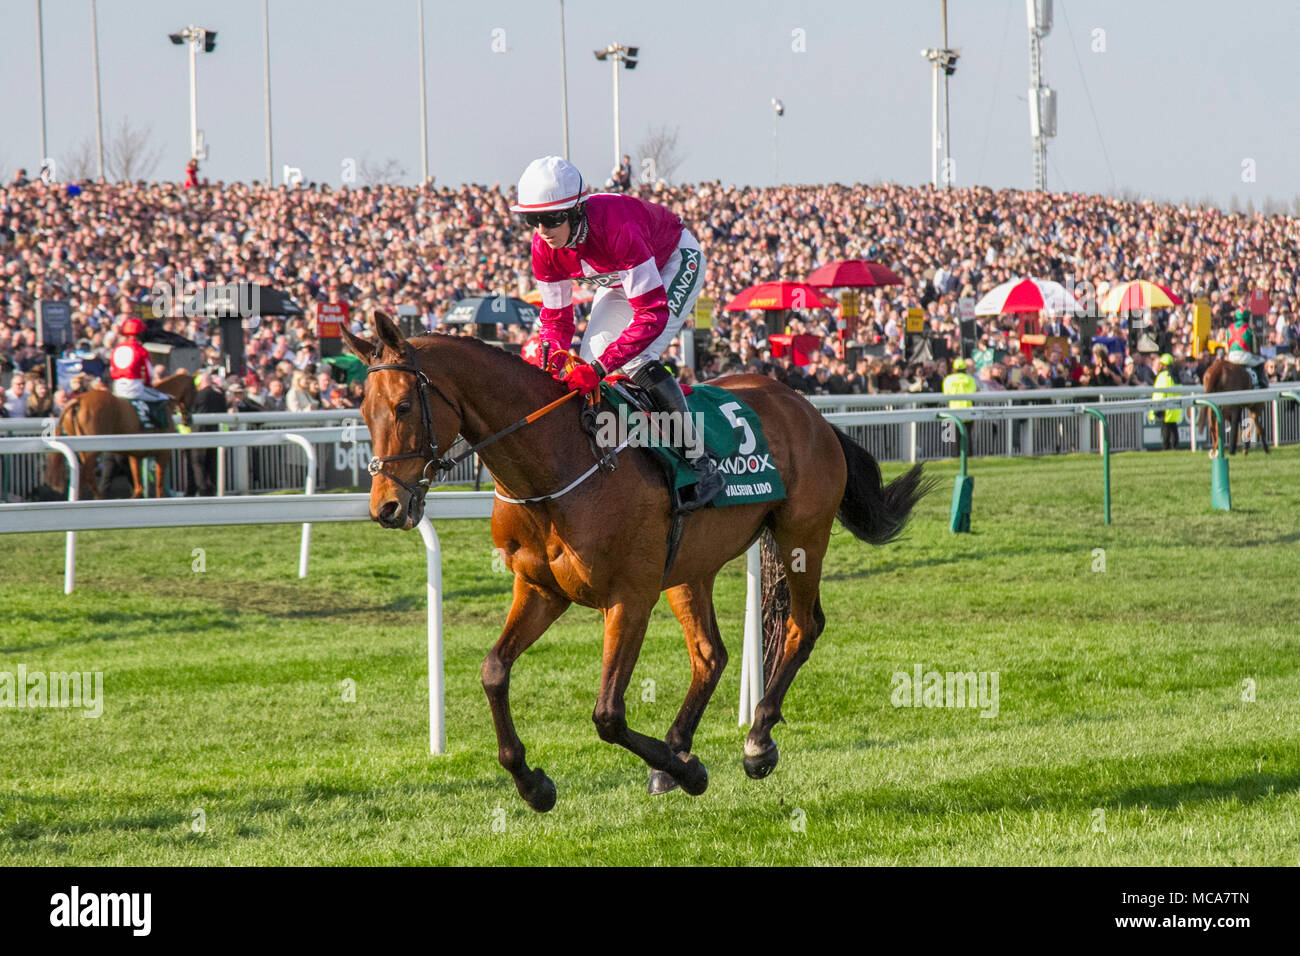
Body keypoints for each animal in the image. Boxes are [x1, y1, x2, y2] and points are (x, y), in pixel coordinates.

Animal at [45, 369, 195, 496]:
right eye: (195, 391)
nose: (188, 419)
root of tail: (78, 400)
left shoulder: (136, 455)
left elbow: (139, 487)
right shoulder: (163, 453)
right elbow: (159, 486)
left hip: (83, 449)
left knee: (89, 479)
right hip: (92, 449)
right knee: (83, 478)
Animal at [340, 316, 930, 816]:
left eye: (403, 407)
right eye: (364, 412)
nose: (387, 508)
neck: (558, 464)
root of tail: (808, 409)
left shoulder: (629, 597)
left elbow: (607, 714)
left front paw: (692, 772)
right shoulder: (539, 590)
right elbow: (493, 671)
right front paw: (534, 784)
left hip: (801, 535)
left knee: (801, 627)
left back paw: (757, 741)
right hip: (691, 566)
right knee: (710, 654)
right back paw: (677, 752)